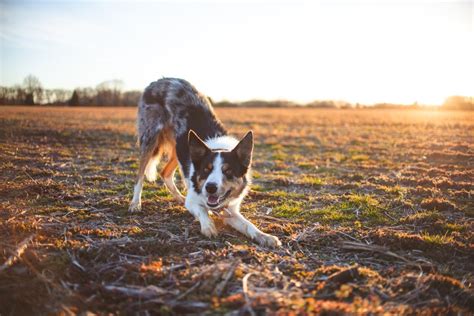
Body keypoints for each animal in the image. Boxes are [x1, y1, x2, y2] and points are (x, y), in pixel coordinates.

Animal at [128, 78, 280, 247]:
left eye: (228, 171)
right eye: (206, 169)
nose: (210, 187)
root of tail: (161, 80)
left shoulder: (230, 211)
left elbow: (248, 225)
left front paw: (265, 236)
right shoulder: (194, 200)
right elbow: (201, 210)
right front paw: (208, 226)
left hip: (180, 148)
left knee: (165, 172)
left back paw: (179, 197)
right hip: (150, 136)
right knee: (140, 175)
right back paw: (135, 203)